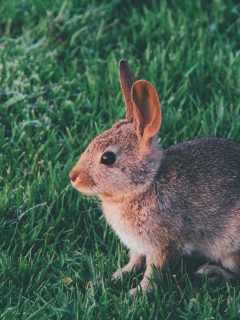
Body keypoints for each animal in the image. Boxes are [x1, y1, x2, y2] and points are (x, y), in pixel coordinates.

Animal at [68, 58, 240, 296]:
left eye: (107, 158)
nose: (73, 177)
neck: (145, 184)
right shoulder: (137, 245)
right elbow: (134, 260)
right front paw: (119, 275)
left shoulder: (163, 244)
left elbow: (154, 270)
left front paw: (137, 293)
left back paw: (210, 272)